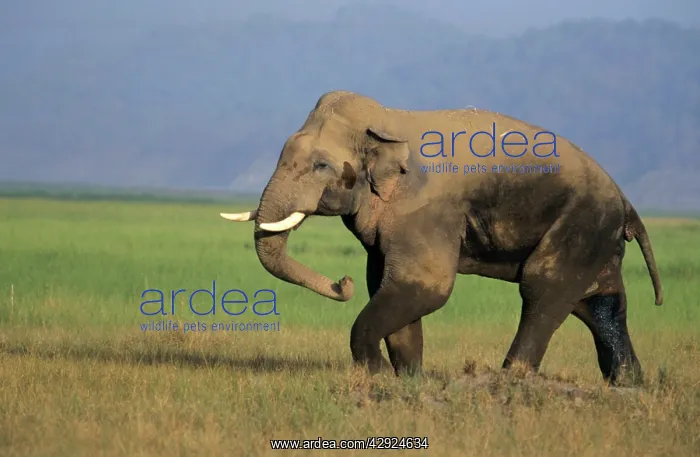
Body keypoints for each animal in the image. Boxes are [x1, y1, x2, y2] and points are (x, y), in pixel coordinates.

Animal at [221, 90, 663, 386]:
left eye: (320, 166)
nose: (341, 282)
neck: (386, 121)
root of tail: (626, 202)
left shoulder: (425, 210)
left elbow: (426, 286)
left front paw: (378, 376)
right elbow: (385, 283)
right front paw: (408, 382)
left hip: (581, 223)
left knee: (544, 290)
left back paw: (509, 380)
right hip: (597, 236)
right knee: (601, 305)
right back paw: (628, 386)